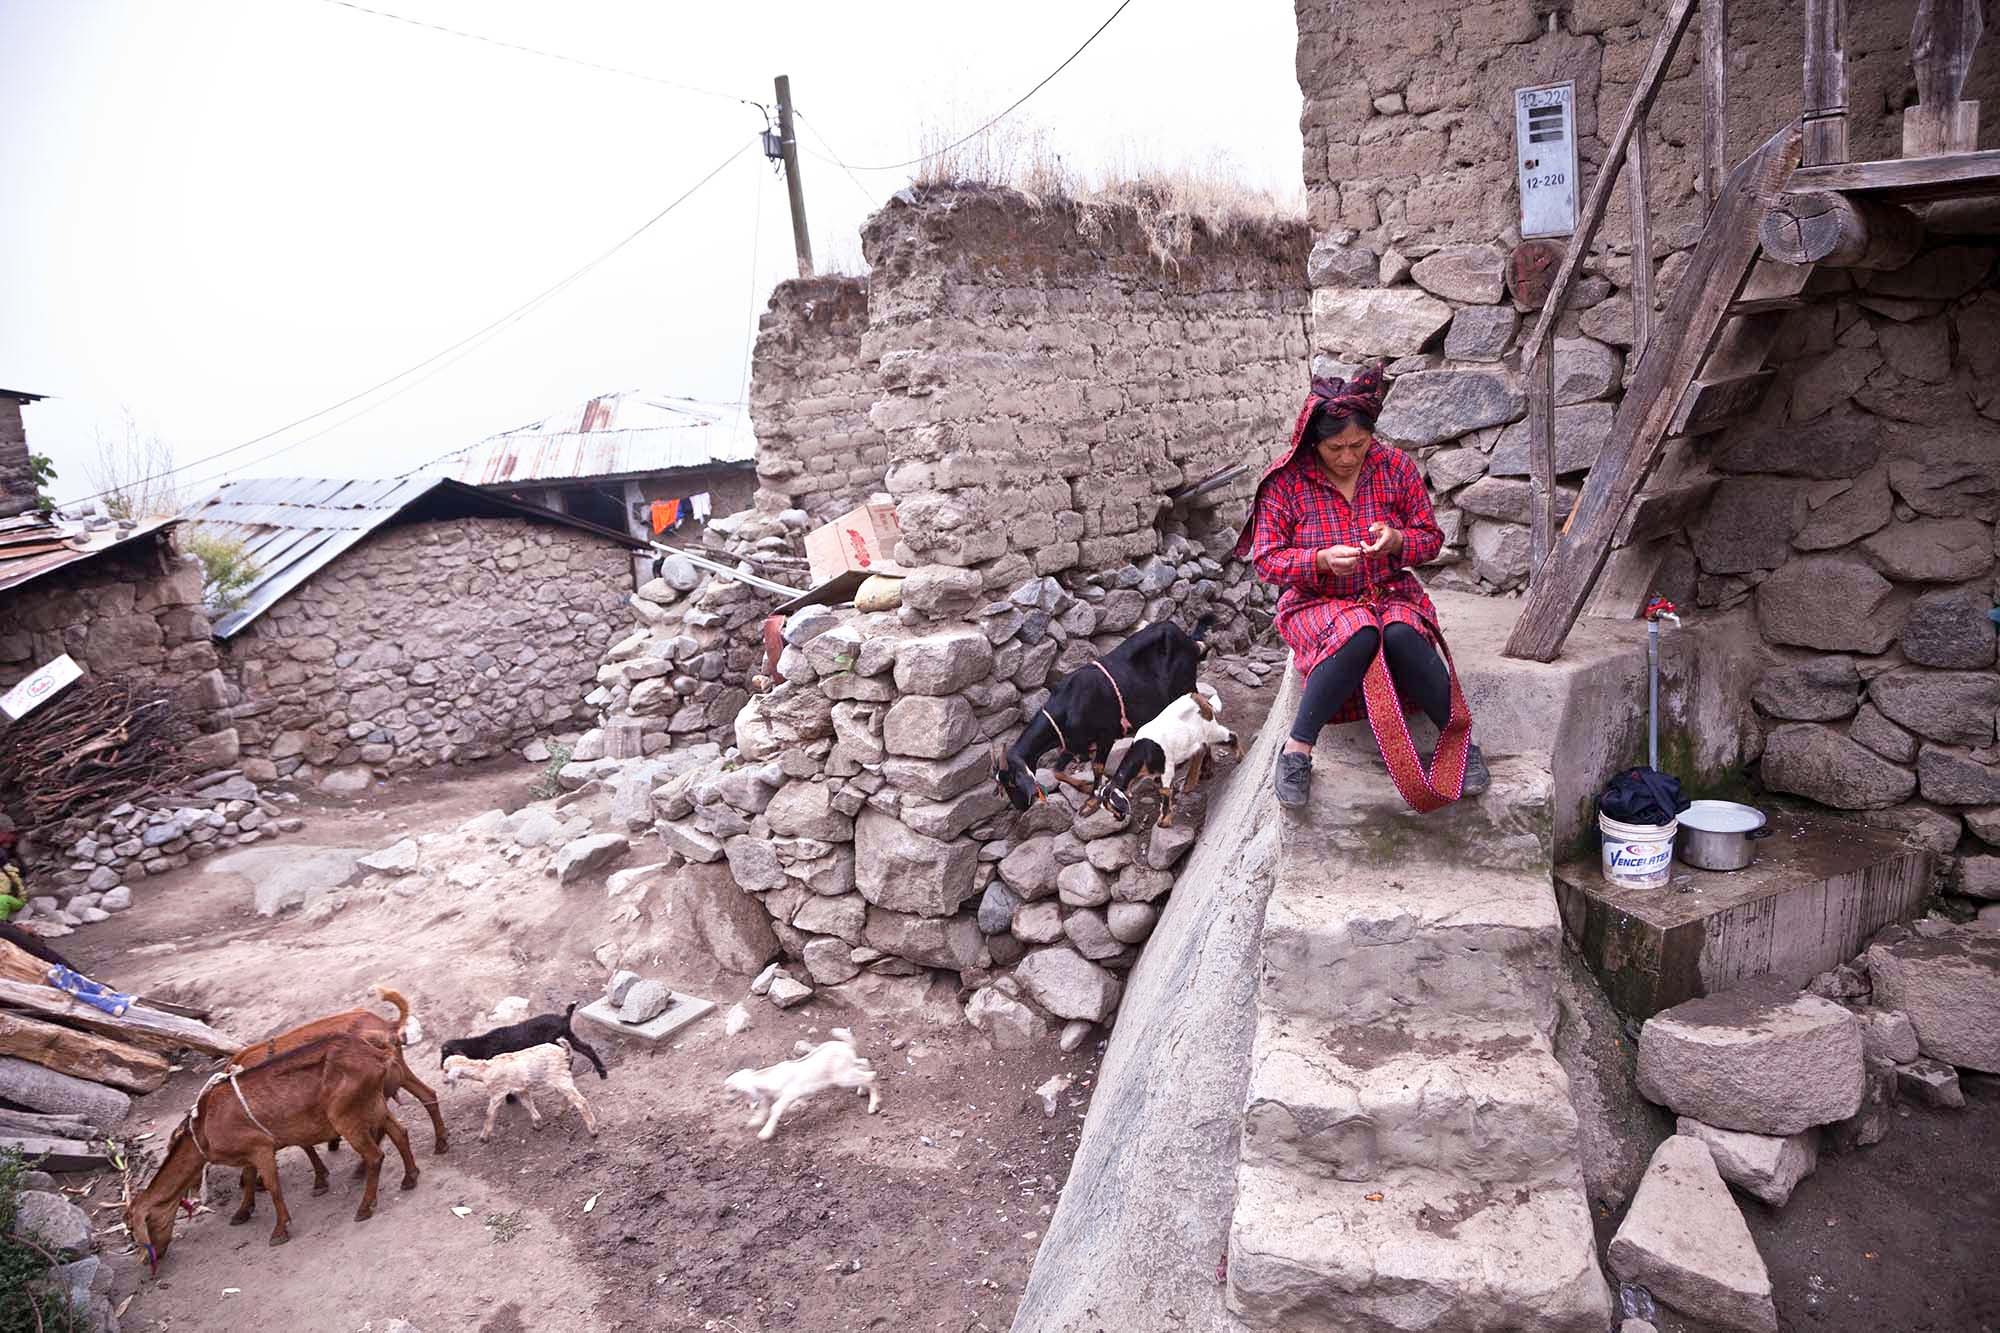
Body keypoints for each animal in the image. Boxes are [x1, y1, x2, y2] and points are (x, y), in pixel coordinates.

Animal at [988, 612, 1208, 808]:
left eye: (1012, 781)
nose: (1020, 807)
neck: (1067, 705)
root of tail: (1187, 640)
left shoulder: (1106, 735)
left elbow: (1097, 766)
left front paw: (1092, 800)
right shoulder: (1074, 744)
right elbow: (1056, 771)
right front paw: (1085, 787)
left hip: (1185, 688)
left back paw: (1194, 778)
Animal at [1096, 684, 1232, 820]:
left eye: (1113, 806)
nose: (1118, 818)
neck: (1144, 752)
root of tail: (1200, 699)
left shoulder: (1167, 769)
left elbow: (1165, 789)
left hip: (1210, 729)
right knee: (1203, 748)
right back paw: (1197, 779)